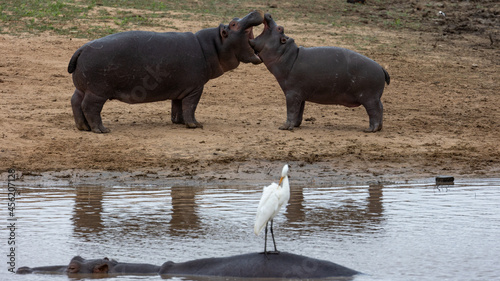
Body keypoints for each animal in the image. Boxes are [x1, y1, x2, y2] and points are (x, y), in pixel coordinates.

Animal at [70, 10, 266, 133]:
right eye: (233, 24)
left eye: (235, 19)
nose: (254, 11)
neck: (213, 46)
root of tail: (81, 48)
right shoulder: (195, 88)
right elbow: (191, 107)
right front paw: (195, 125)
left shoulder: (181, 89)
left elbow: (178, 107)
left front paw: (179, 122)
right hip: (97, 91)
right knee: (90, 107)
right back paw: (102, 130)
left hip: (83, 88)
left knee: (76, 102)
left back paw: (83, 127)